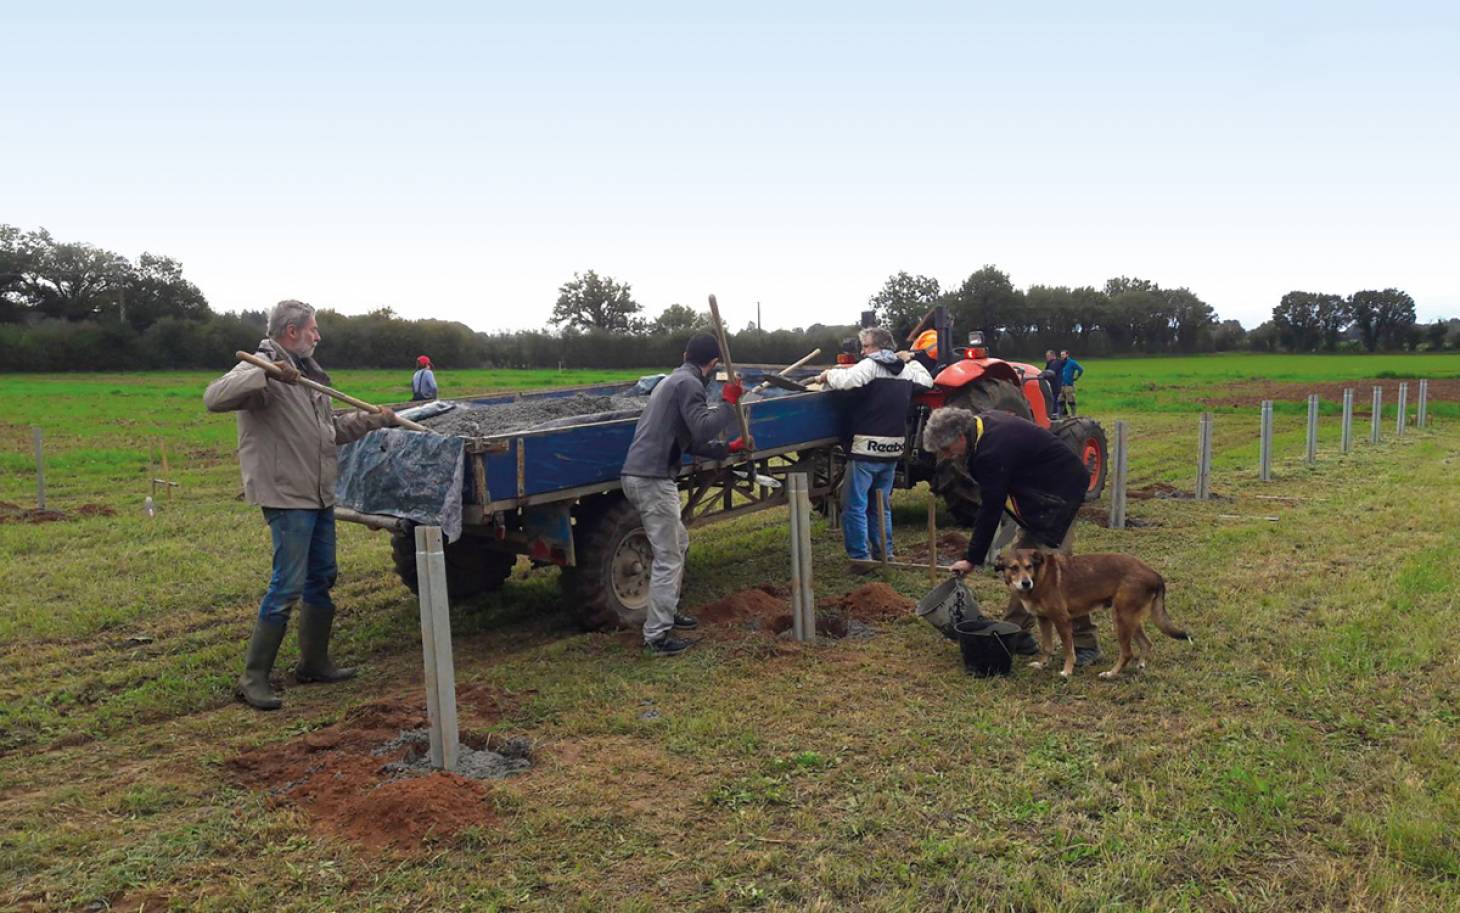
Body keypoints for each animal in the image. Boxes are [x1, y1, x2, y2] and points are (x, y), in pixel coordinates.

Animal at [992, 549, 1185, 677]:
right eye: (1013, 568)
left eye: (1029, 566)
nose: (1026, 583)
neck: (1040, 576)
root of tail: (1154, 574)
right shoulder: (1044, 619)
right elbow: (1047, 646)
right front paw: (1042, 664)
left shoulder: (1062, 620)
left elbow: (1069, 650)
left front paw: (1067, 671)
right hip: (1130, 618)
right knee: (1147, 643)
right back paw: (1140, 666)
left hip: (1120, 618)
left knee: (1127, 653)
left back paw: (1111, 674)